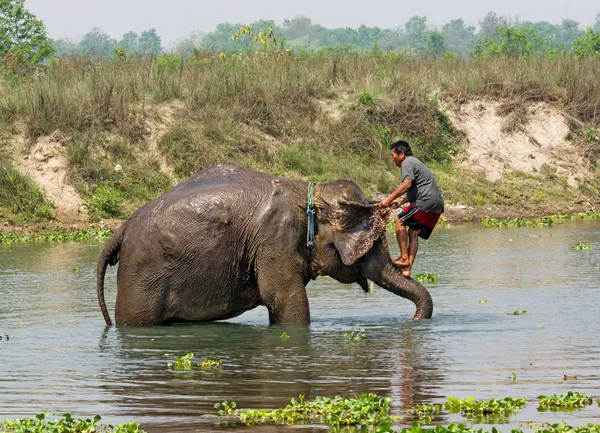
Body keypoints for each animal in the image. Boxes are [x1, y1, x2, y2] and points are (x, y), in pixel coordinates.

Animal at [98, 165, 434, 324]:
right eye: (374, 244)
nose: (412, 321)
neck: (311, 193)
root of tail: (122, 228)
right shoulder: (276, 238)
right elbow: (285, 300)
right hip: (142, 279)